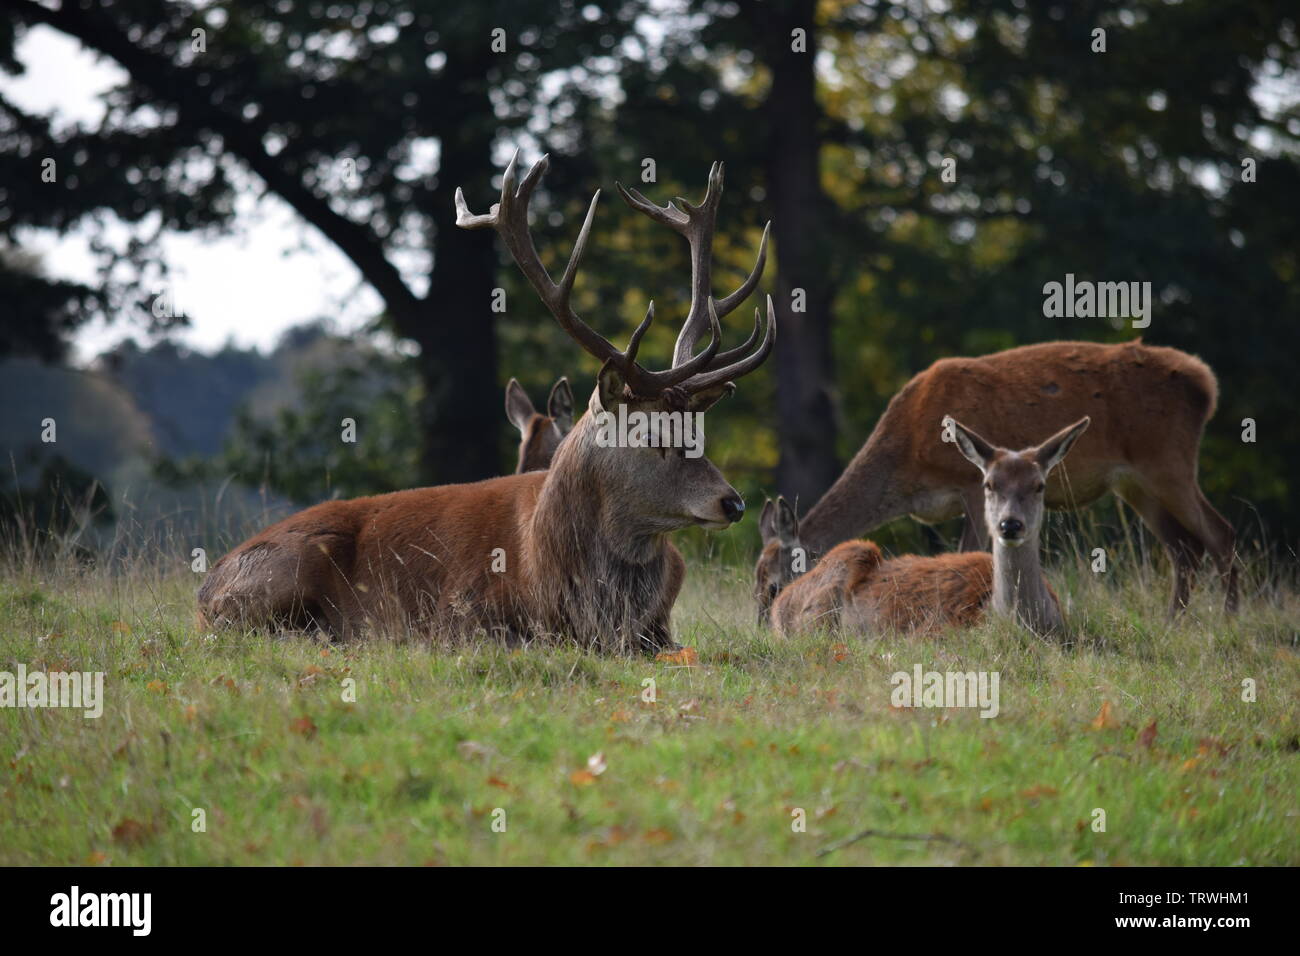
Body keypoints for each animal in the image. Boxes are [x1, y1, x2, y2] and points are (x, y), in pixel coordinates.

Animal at [195, 155, 769, 650]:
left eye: (698, 432)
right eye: (651, 434)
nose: (733, 503)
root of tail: (203, 590)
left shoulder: (661, 631)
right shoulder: (461, 613)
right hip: (284, 573)